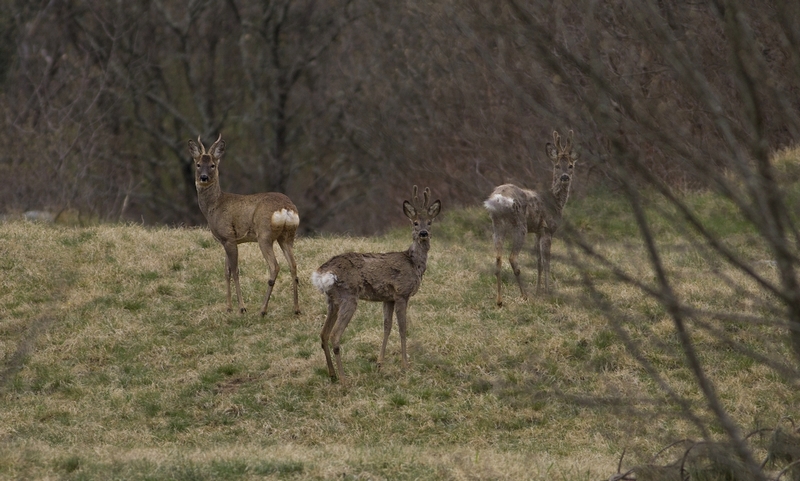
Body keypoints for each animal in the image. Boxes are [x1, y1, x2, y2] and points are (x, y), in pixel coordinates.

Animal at [188, 134, 300, 316]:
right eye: (198, 164)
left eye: (212, 165)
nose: (203, 177)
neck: (215, 206)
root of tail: (286, 208)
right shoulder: (225, 240)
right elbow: (226, 272)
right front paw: (228, 307)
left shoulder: (229, 236)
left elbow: (235, 271)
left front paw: (241, 307)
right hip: (287, 237)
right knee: (293, 265)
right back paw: (296, 309)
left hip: (264, 235)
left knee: (275, 266)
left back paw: (262, 310)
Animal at [310, 186, 444, 380]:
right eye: (415, 222)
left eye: (430, 222)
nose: (423, 233)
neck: (414, 263)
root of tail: (322, 273)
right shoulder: (402, 293)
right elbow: (402, 328)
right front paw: (405, 365)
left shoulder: (388, 298)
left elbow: (387, 326)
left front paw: (380, 363)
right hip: (348, 296)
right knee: (335, 335)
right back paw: (343, 379)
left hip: (332, 300)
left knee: (323, 334)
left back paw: (333, 374)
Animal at [484, 129, 580, 306]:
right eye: (557, 165)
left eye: (570, 165)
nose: (564, 177)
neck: (555, 201)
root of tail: (499, 198)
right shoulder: (548, 229)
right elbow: (547, 261)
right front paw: (547, 292)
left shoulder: (537, 231)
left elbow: (538, 262)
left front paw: (538, 290)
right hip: (519, 225)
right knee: (512, 257)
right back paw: (524, 295)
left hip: (497, 225)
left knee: (498, 258)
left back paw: (500, 300)